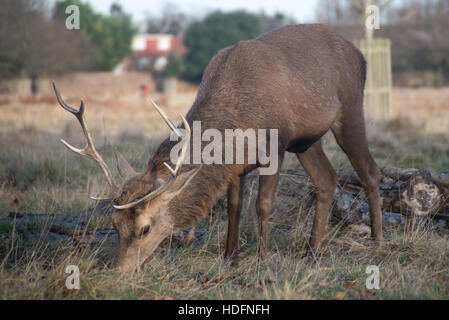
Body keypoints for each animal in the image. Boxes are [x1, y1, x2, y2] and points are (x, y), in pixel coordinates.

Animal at [52, 23, 382, 272]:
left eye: (145, 227)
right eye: (115, 223)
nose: (118, 270)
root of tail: (361, 55)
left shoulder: (275, 146)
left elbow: (262, 205)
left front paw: (262, 259)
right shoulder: (234, 165)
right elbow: (233, 207)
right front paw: (230, 256)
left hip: (351, 108)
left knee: (369, 170)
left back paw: (377, 241)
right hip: (306, 141)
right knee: (327, 179)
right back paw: (312, 251)